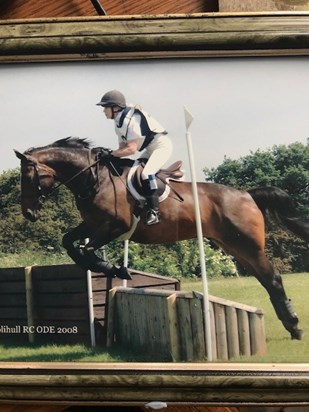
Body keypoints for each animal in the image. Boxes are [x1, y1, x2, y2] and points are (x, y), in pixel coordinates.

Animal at [15, 137, 308, 340]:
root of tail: (247, 194)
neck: (94, 179)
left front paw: (112, 268)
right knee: (266, 280)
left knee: (273, 279)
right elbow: (70, 243)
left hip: (247, 246)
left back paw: (294, 326)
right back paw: (291, 325)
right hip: (235, 247)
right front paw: (110, 268)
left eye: (28, 177)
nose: (28, 213)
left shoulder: (115, 226)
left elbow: (86, 250)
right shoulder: (92, 225)